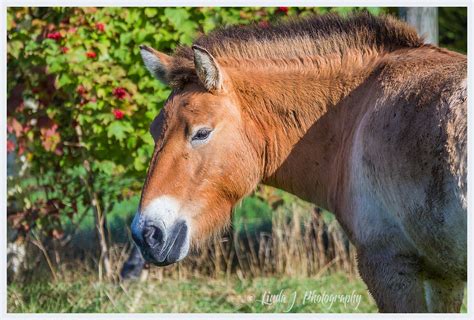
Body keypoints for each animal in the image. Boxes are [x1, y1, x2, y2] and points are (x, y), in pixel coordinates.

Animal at [130, 13, 466, 312]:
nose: (146, 234)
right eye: (154, 130)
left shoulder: (390, 266)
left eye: (201, 133)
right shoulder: (442, 276)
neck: (357, 111)